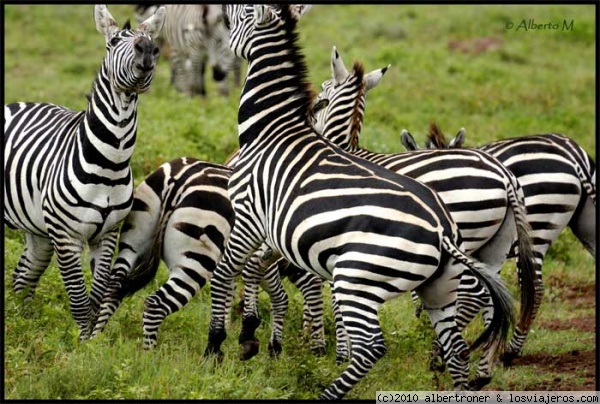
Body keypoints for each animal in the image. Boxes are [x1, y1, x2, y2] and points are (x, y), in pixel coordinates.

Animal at [4, 6, 168, 340]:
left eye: (152, 43)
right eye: (114, 41)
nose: (147, 50)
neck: (110, 164)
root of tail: (14, 103)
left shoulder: (107, 234)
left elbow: (97, 293)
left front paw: (93, 341)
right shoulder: (65, 234)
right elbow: (78, 297)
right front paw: (81, 343)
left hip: (36, 228)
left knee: (25, 273)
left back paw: (22, 319)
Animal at [89, 158, 292, 350]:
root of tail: (179, 180)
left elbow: (229, 290)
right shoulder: (258, 253)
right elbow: (279, 295)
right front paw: (271, 347)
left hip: (134, 241)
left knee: (112, 289)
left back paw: (94, 342)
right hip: (196, 260)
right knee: (156, 304)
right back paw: (149, 355)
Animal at [204, 5, 512, 398]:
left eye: (242, 13)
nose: (218, 13)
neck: (272, 131)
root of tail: (441, 231)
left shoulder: (250, 216)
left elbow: (226, 271)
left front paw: (217, 346)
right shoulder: (280, 233)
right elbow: (260, 270)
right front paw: (253, 336)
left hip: (358, 278)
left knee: (375, 346)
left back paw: (330, 389)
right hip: (444, 281)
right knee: (457, 343)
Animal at [398, 128, 596, 362]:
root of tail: (573, 154)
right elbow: (492, 298)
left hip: (536, 226)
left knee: (533, 288)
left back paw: (510, 351)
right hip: (585, 224)